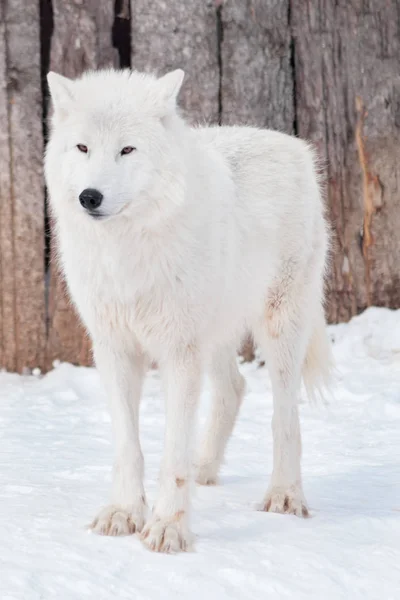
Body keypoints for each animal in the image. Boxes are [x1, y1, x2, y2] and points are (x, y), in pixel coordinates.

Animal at [45, 68, 332, 552]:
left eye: (127, 149)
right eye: (82, 148)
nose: (89, 197)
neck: (127, 252)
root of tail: (294, 146)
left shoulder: (179, 353)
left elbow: (172, 454)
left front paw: (168, 527)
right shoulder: (115, 350)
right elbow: (129, 446)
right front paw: (124, 513)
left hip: (278, 331)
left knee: (285, 418)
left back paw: (285, 496)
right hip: (215, 337)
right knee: (235, 388)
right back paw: (206, 471)